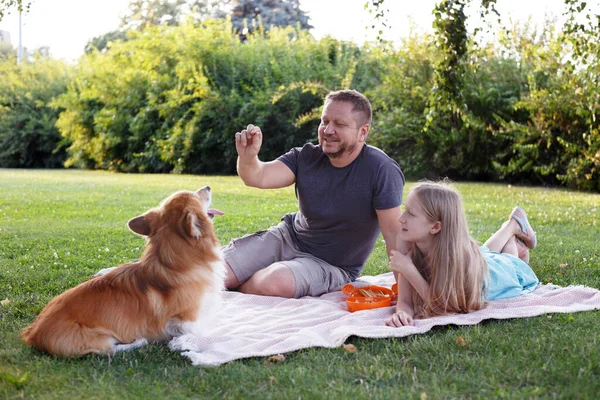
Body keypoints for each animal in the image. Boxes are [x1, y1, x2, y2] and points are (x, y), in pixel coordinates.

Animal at [21, 186, 225, 358]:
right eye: (196, 196)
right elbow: (199, 331)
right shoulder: (186, 319)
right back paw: (139, 342)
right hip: (98, 338)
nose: (208, 186)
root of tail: (33, 335)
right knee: (110, 351)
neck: (175, 264)